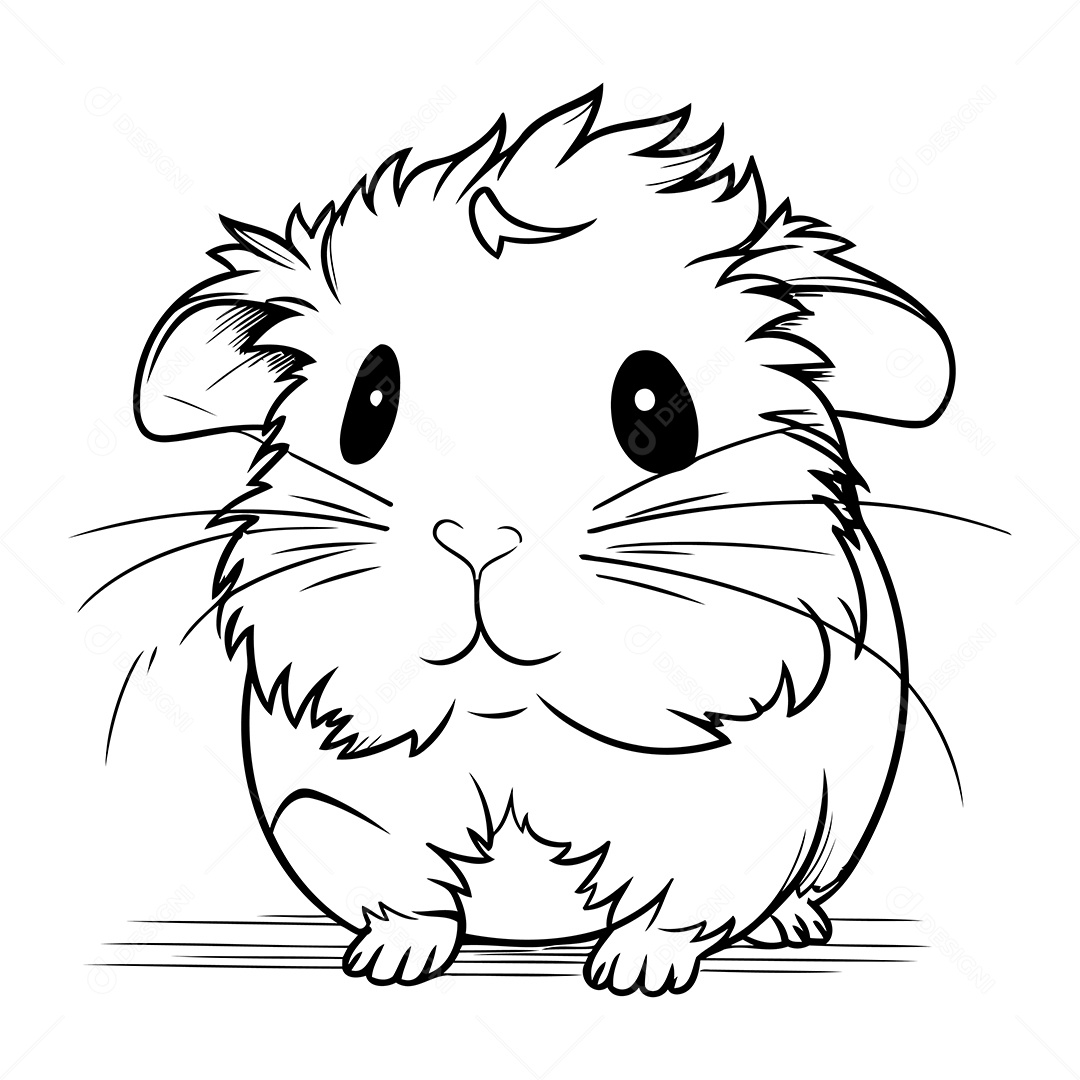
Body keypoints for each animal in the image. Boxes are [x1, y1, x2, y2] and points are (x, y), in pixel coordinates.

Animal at [133, 87, 954, 994]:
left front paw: (634, 973)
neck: (512, 714)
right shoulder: (331, 802)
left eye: (652, 404)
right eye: (369, 403)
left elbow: (682, 899)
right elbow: (394, 884)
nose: (478, 536)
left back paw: (790, 927)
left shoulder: (744, 814)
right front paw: (388, 964)